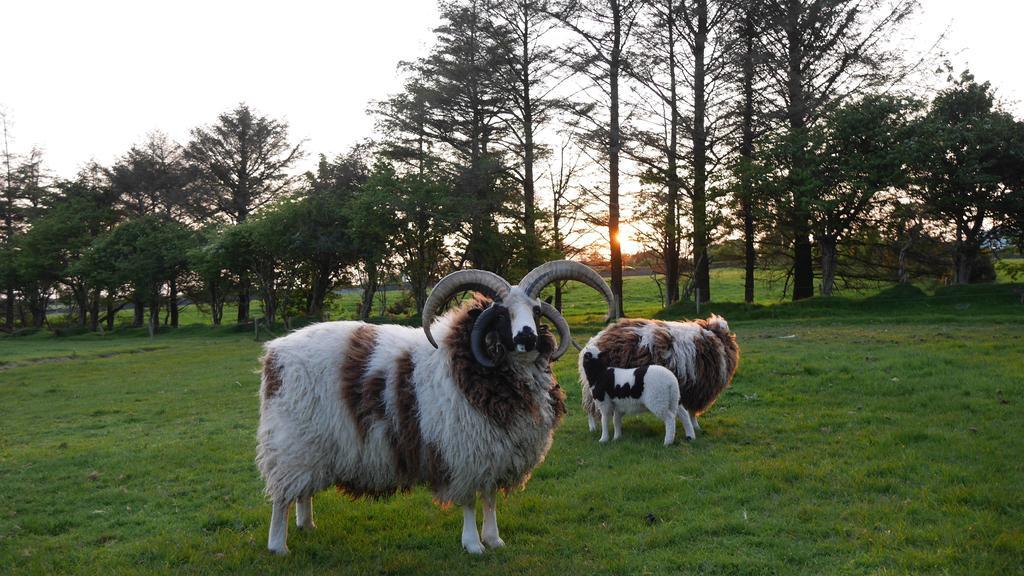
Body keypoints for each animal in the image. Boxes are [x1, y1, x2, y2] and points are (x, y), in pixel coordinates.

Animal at [256, 260, 610, 553]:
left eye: (536, 311)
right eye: (500, 314)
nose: (527, 338)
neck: (466, 363)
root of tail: (275, 353)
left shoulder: (494, 449)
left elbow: (490, 499)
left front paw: (494, 539)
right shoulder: (463, 451)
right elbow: (469, 502)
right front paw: (473, 545)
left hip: (309, 446)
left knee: (302, 490)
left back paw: (307, 525)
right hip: (291, 443)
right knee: (281, 497)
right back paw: (278, 545)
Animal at [581, 313, 741, 434]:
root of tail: (595, 340)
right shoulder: (697, 387)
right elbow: (691, 412)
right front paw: (696, 427)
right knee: (591, 407)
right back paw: (593, 428)